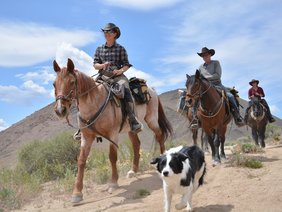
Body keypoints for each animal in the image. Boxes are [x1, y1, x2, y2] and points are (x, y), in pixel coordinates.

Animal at [52, 58, 172, 202]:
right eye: (54, 84)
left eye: (72, 82)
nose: (60, 110)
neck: (94, 103)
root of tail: (152, 90)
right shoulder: (86, 137)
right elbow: (81, 161)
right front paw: (77, 193)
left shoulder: (112, 134)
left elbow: (112, 157)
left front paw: (113, 183)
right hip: (131, 128)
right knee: (136, 144)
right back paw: (133, 171)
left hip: (152, 120)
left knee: (159, 136)